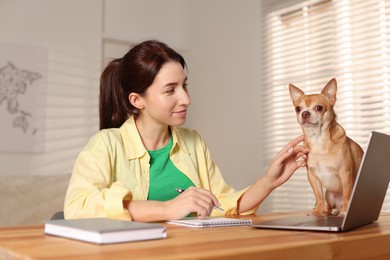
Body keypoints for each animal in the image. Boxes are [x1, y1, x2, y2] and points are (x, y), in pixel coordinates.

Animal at [288, 78, 364, 216]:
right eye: (298, 109)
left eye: (319, 108)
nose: (304, 113)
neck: (318, 140)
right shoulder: (312, 176)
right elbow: (318, 196)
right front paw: (317, 211)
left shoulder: (345, 173)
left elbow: (347, 194)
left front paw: (345, 211)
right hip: (329, 194)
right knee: (328, 205)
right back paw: (329, 211)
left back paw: (342, 210)